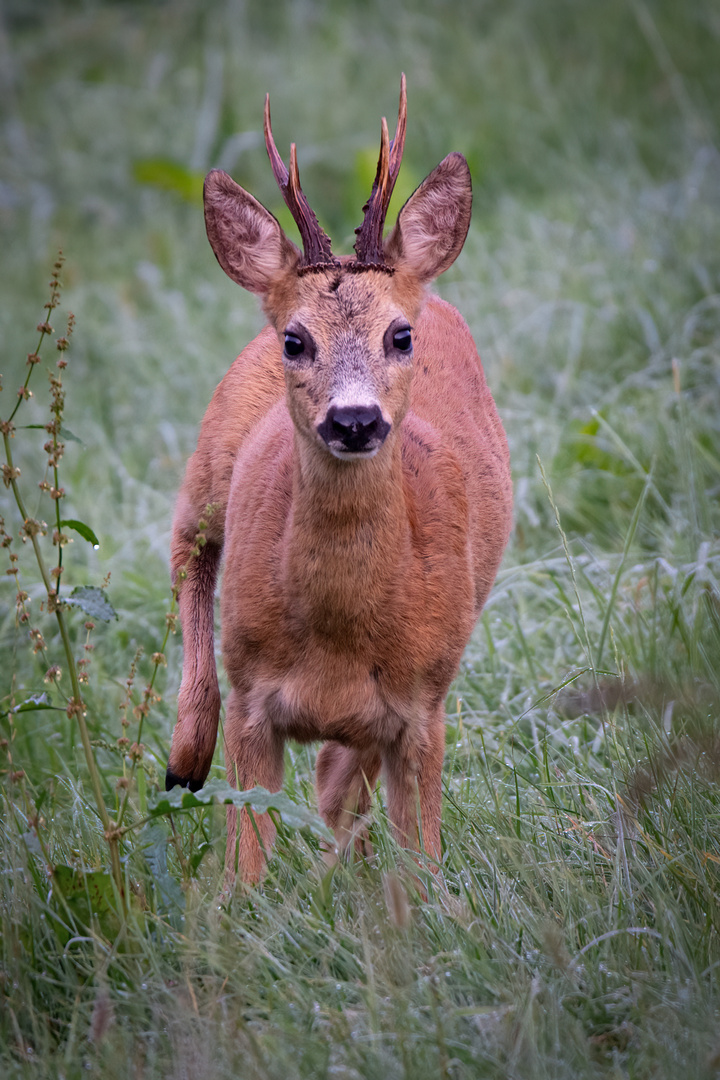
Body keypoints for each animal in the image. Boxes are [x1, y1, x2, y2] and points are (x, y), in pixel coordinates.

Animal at [165, 78, 511, 885]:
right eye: (296, 339)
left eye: (400, 335)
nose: (354, 419)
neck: (337, 638)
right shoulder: (254, 702)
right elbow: (242, 872)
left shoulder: (422, 710)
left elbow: (420, 860)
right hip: (210, 458)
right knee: (186, 549)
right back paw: (184, 754)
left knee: (334, 782)